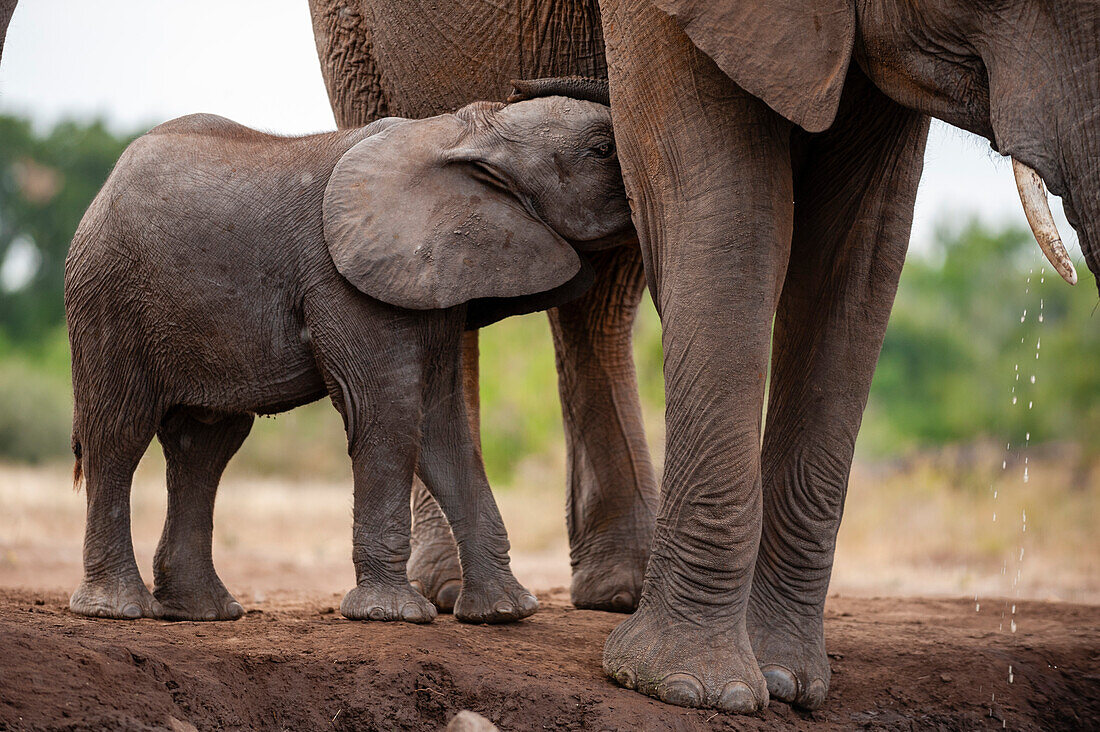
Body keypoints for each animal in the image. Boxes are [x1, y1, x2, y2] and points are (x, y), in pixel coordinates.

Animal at [68, 93, 633, 620]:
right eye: (603, 151)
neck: (460, 131)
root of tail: (102, 191)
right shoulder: (347, 281)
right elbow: (387, 413)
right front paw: (394, 616)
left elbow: (441, 424)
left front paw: (507, 613)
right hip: (109, 298)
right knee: (119, 431)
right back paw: (116, 609)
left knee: (204, 444)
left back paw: (204, 611)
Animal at [308, 0, 1091, 708]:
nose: (529, 88)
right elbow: (722, 208)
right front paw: (695, 690)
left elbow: (861, 247)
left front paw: (787, 682)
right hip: (354, 43)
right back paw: (455, 595)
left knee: (604, 289)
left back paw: (622, 589)